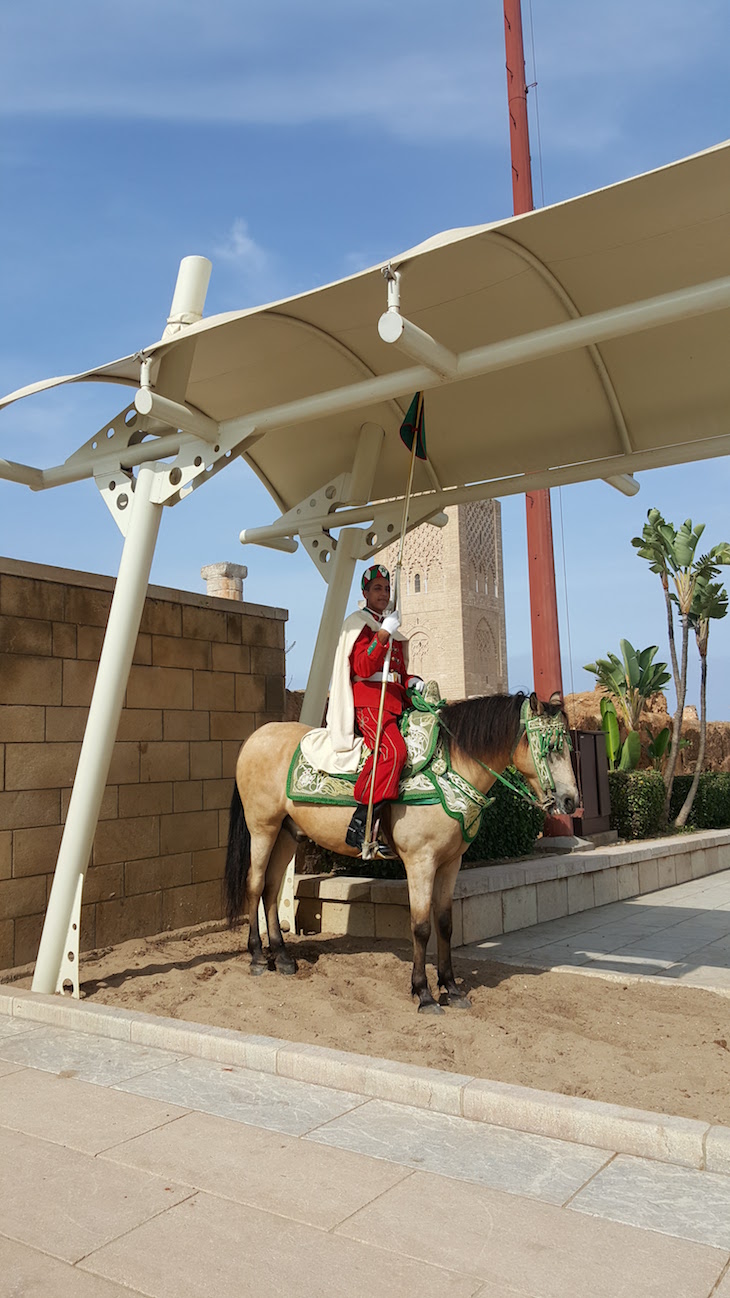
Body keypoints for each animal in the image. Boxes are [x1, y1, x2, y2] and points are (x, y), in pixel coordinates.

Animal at [224, 690, 576, 1012]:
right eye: (552, 747)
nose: (571, 800)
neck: (450, 769)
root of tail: (257, 736)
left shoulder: (451, 863)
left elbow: (445, 923)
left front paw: (451, 988)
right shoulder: (420, 861)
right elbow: (420, 927)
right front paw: (423, 993)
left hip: (287, 834)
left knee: (271, 889)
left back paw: (283, 957)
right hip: (262, 829)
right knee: (255, 884)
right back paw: (257, 957)